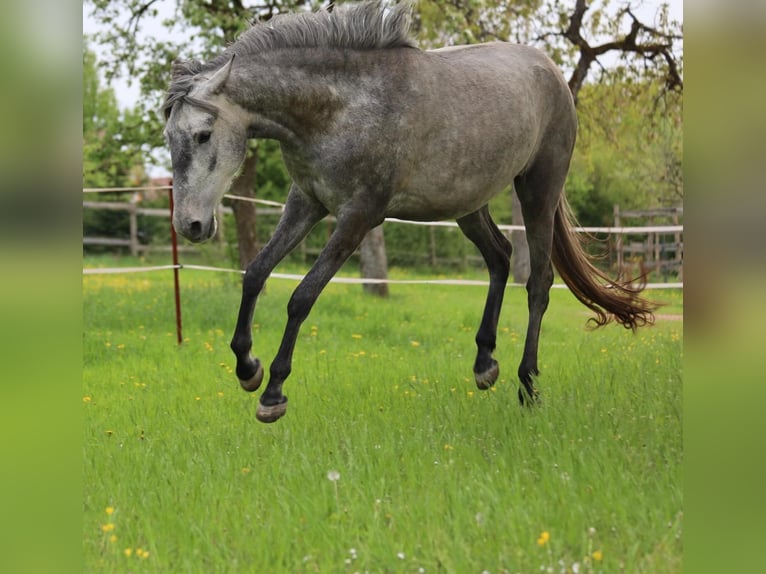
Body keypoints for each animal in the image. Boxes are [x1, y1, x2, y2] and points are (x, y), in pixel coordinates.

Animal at [162, 1, 656, 423]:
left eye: (203, 134)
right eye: (169, 137)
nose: (190, 225)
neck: (338, 108)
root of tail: (553, 73)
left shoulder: (359, 216)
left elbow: (302, 296)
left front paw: (272, 394)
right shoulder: (306, 202)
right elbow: (256, 273)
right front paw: (248, 368)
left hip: (539, 190)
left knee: (538, 282)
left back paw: (527, 386)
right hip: (467, 203)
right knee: (499, 257)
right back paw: (485, 365)